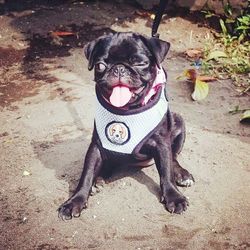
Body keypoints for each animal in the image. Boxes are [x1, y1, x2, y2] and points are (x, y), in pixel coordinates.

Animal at [57, 31, 194, 221]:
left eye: (140, 63)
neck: (128, 109)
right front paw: (75, 200)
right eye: (100, 65)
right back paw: (99, 179)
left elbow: (166, 171)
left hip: (178, 122)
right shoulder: (96, 146)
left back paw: (181, 174)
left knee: (173, 157)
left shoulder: (161, 144)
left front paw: (174, 197)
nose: (119, 68)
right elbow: (86, 174)